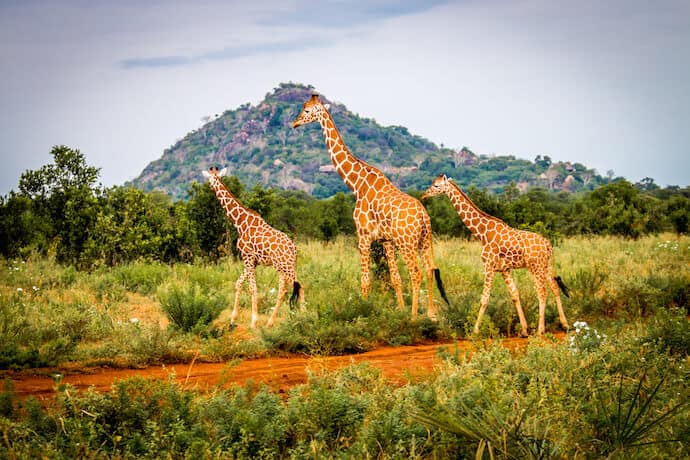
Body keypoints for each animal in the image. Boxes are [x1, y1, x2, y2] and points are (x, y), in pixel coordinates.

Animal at [202, 167, 304, 328]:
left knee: (287, 289)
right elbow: (238, 283)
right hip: (288, 265)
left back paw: (273, 322)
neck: (240, 223)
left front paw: (253, 322)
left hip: (282, 266)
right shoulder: (252, 261)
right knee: (297, 287)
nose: (211, 187)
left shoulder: (247, 257)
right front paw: (233, 319)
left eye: (210, 180)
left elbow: (252, 288)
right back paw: (303, 317)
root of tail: (293, 248)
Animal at [288, 94, 446, 320]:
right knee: (430, 269)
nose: (294, 123)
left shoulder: (362, 235)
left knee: (416, 273)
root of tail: (424, 217)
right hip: (425, 240)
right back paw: (431, 313)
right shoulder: (386, 240)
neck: (357, 184)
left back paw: (415, 317)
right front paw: (399, 310)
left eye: (307, 110)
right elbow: (395, 278)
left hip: (407, 243)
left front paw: (363, 312)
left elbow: (365, 281)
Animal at [422, 174, 568, 336]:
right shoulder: (504, 269)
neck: (482, 233)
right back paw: (564, 324)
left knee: (542, 291)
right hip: (546, 266)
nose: (424, 195)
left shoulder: (489, 266)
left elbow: (484, 298)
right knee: (554, 288)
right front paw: (524, 329)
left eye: (436, 185)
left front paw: (475, 330)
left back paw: (540, 330)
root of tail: (548, 245)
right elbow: (514, 295)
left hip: (535, 267)